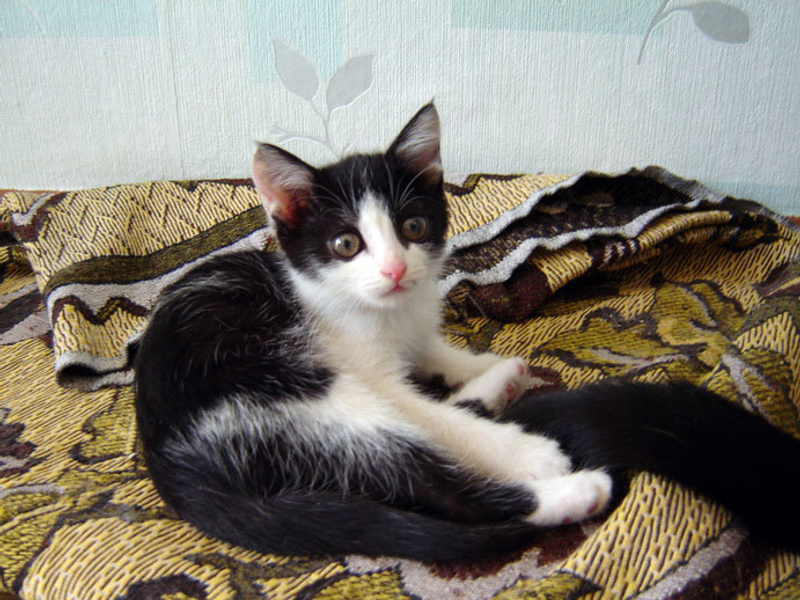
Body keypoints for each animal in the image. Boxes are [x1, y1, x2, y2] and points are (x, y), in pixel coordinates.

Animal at [134, 104, 800, 562]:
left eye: (413, 226)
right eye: (346, 244)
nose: (396, 271)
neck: (357, 304)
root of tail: (177, 475)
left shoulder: (415, 331)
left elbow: (438, 353)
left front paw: (482, 364)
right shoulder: (361, 367)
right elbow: (429, 414)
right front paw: (528, 451)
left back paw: (502, 384)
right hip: (295, 400)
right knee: (433, 481)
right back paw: (568, 485)